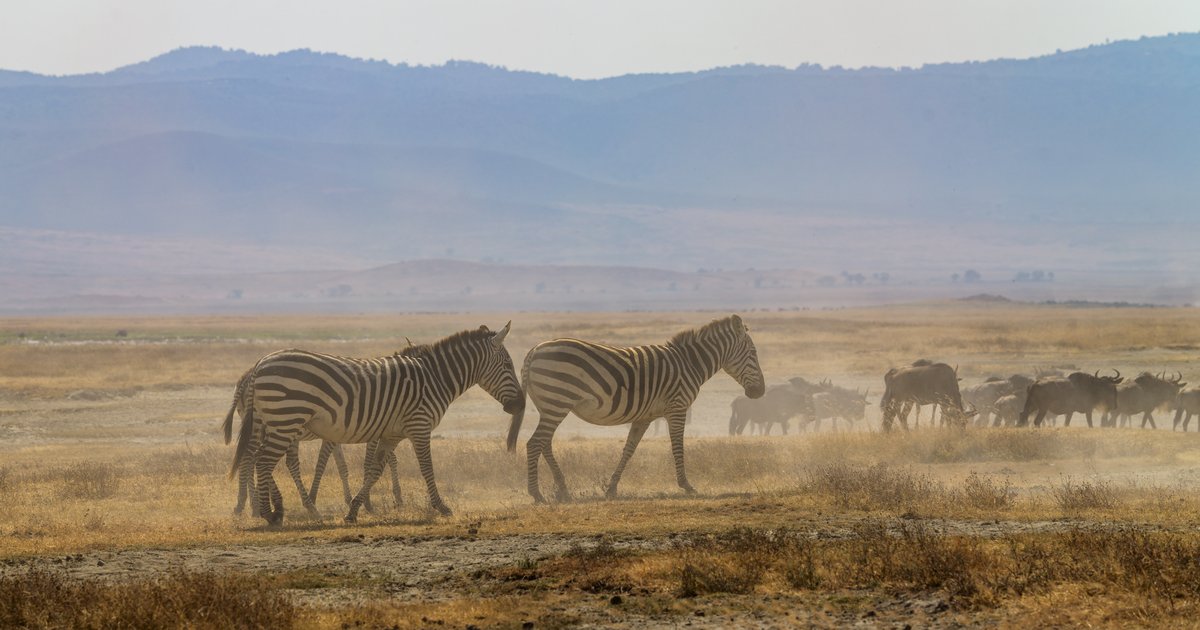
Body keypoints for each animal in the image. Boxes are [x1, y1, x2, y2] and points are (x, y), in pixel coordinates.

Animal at [229, 322, 525, 526]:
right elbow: (426, 468)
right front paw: (441, 507)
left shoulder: (391, 434)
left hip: (275, 422)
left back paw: (273, 509)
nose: (520, 405)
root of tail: (260, 363)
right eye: (508, 365)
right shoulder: (419, 426)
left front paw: (353, 511)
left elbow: (374, 470)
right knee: (262, 461)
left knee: (258, 459)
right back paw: (269, 513)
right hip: (286, 419)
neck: (435, 378)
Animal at [519, 314, 764, 503]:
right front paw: (686, 485)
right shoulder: (677, 407)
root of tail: (534, 350)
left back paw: (562, 489)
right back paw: (537, 494)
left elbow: (629, 449)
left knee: (545, 443)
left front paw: (612, 488)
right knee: (535, 443)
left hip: (550, 406)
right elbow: (678, 446)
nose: (760, 392)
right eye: (753, 353)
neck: (689, 363)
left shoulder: (645, 416)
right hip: (557, 401)